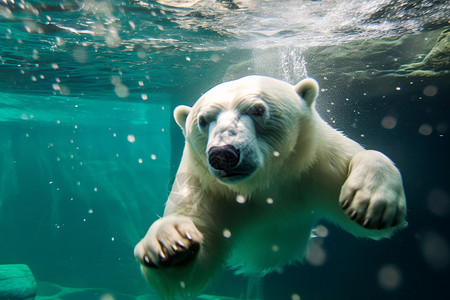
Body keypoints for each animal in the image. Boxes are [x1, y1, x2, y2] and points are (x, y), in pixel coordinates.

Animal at [134, 75, 408, 300]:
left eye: (257, 109)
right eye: (203, 120)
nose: (223, 154)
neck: (264, 185)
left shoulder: (315, 163)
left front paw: (371, 202)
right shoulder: (207, 187)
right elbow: (193, 263)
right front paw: (168, 243)